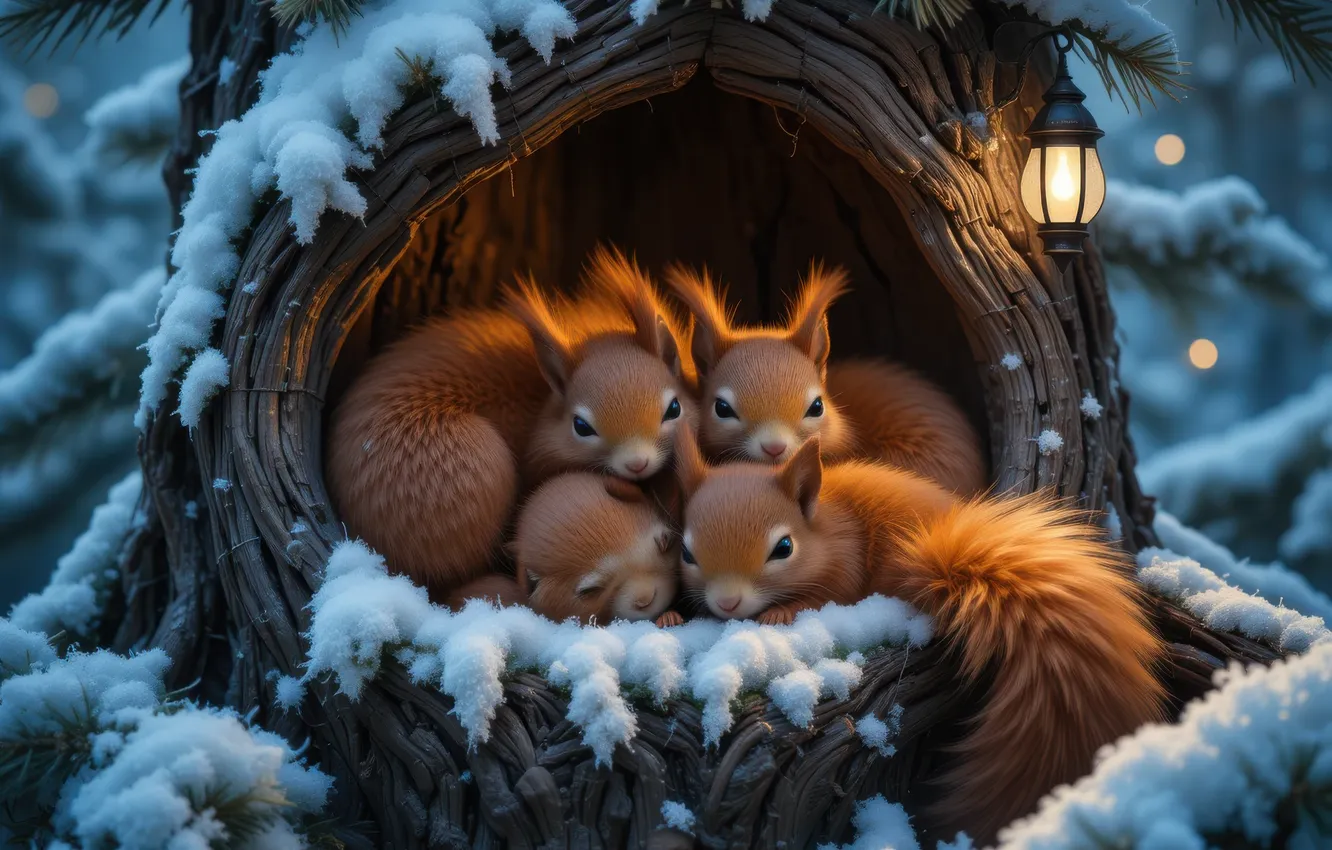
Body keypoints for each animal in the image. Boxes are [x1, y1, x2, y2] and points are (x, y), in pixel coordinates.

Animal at [671, 425, 1166, 841]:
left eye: (784, 547)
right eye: (686, 552)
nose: (727, 604)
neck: (827, 523)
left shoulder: (846, 566)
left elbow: (827, 595)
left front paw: (778, 615)